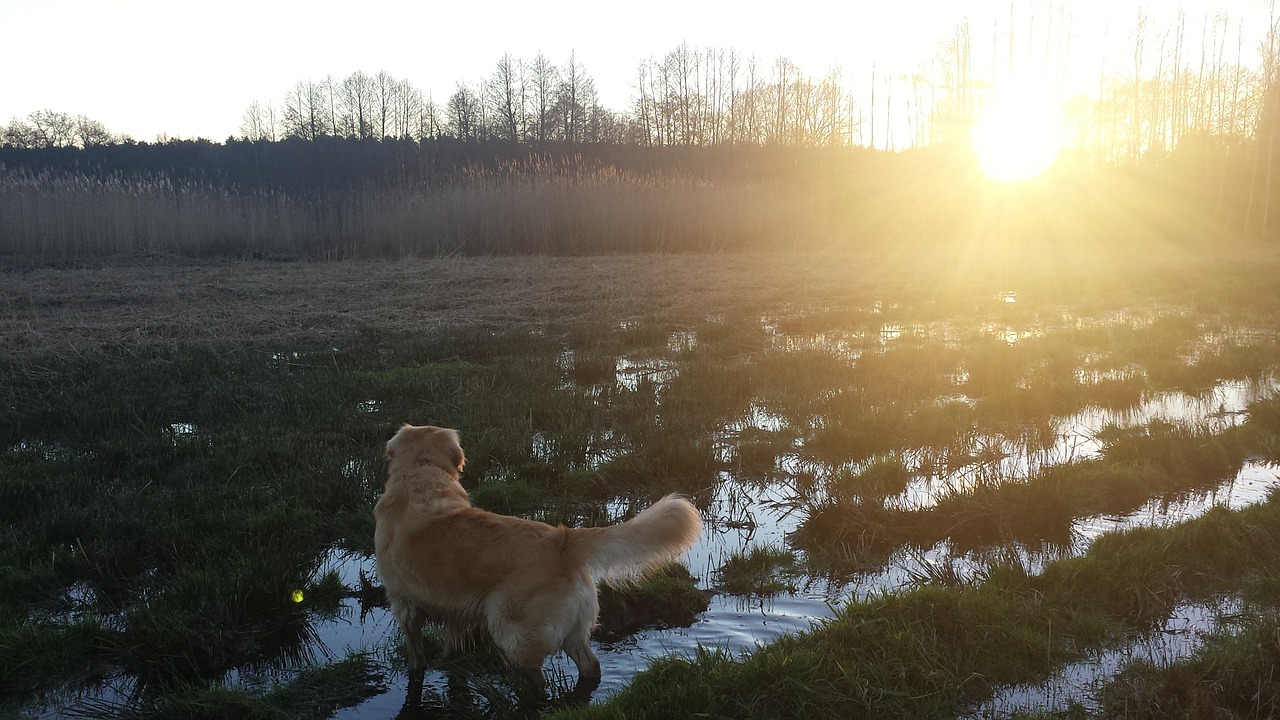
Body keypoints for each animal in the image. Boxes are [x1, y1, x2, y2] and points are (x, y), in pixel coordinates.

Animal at [373, 425, 701, 681]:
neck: (422, 472)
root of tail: (563, 538)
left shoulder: (402, 601)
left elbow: (415, 649)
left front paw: (416, 671)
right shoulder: (456, 610)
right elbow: (455, 643)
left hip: (516, 634)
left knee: (534, 679)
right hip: (574, 629)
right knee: (590, 665)